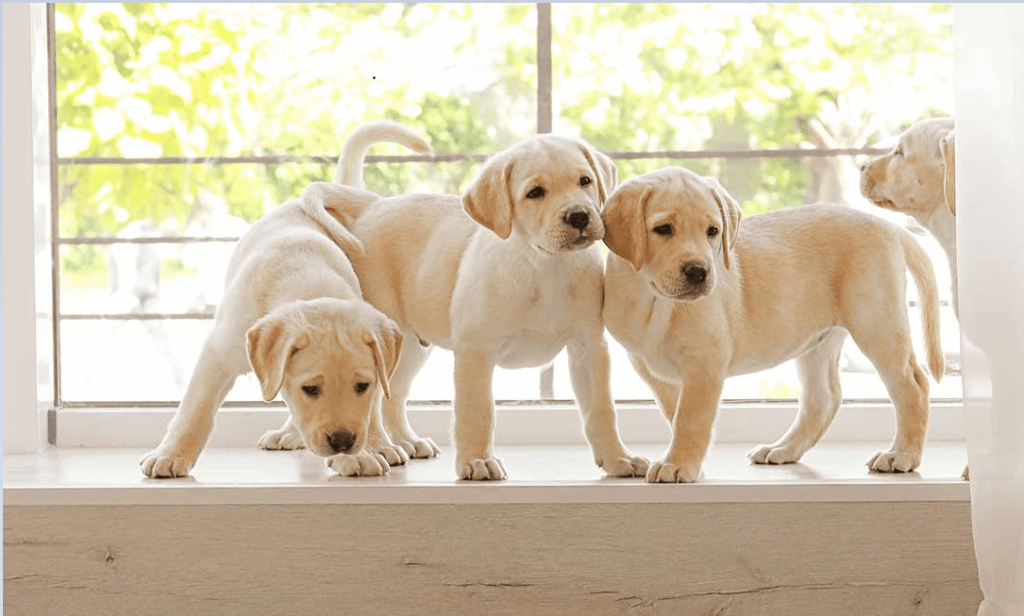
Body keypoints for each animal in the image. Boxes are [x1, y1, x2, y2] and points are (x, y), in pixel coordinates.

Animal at [139, 189, 407, 476]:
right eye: (310, 389)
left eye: (361, 386)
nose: (343, 441)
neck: (307, 282)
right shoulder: (219, 353)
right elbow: (196, 409)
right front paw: (171, 455)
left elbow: (367, 412)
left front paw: (359, 455)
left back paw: (379, 445)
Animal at [299, 121, 647, 478]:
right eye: (535, 192)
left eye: (585, 181)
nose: (579, 216)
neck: (546, 266)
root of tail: (372, 205)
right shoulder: (475, 351)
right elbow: (477, 412)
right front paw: (477, 461)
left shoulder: (588, 348)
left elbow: (601, 408)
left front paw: (617, 457)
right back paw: (377, 449)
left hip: (408, 347)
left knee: (392, 395)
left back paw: (407, 441)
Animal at [598, 165, 942, 482]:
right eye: (663, 229)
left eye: (712, 231)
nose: (699, 271)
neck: (655, 300)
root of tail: (889, 226)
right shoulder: (649, 365)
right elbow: (676, 412)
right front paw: (688, 459)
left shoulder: (705, 363)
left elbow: (690, 419)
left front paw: (678, 464)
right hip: (819, 339)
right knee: (823, 398)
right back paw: (784, 449)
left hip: (877, 321)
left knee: (913, 385)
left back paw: (902, 455)